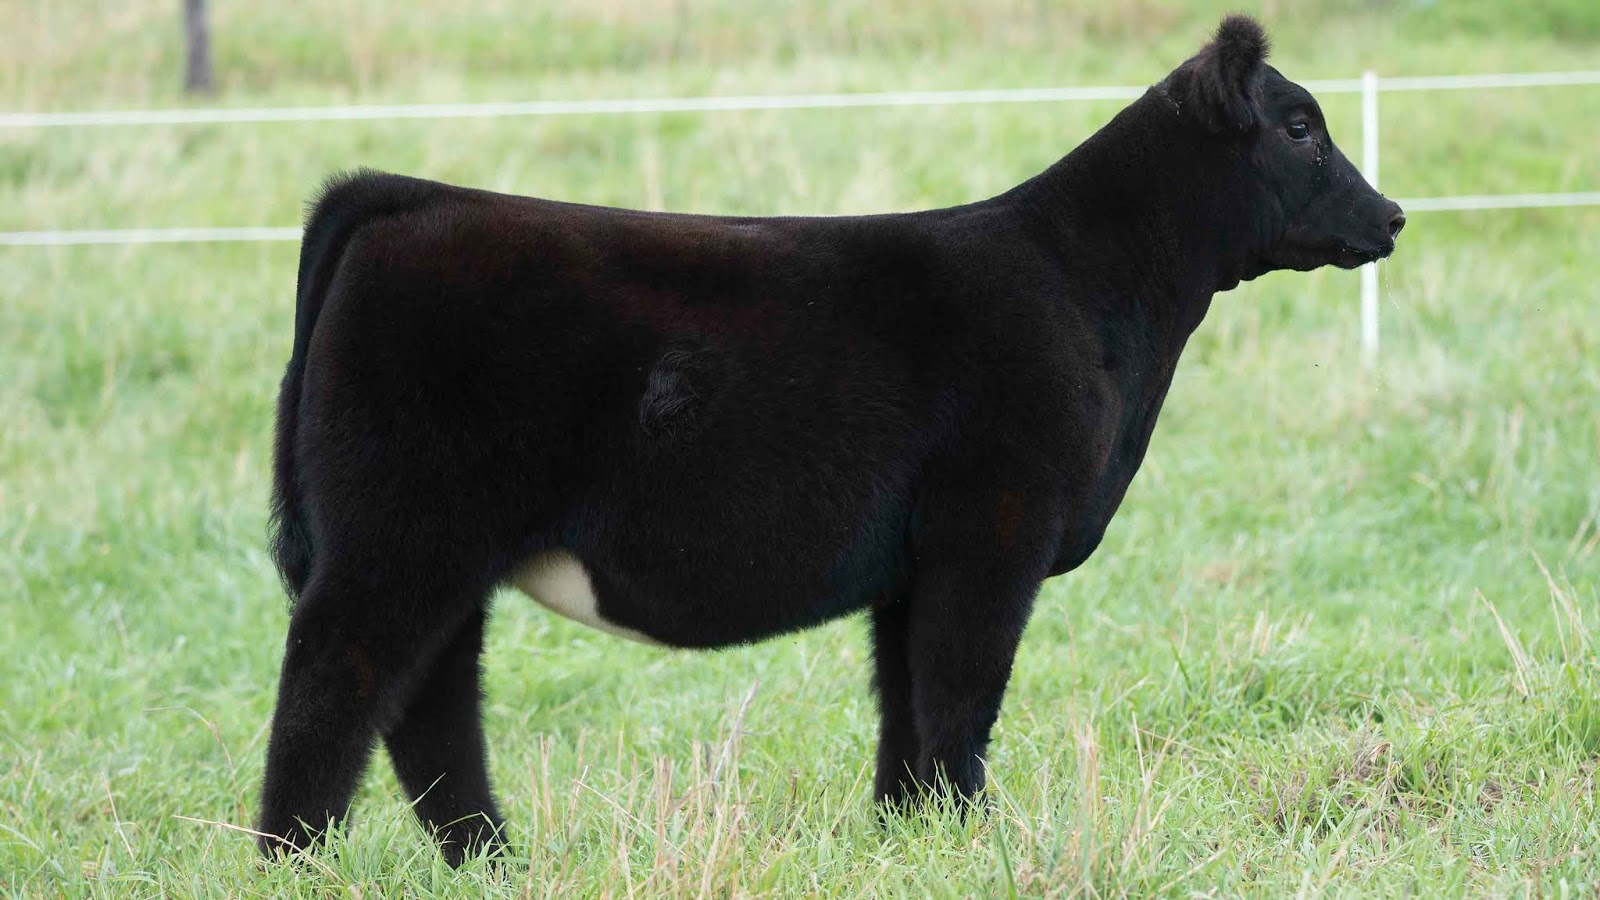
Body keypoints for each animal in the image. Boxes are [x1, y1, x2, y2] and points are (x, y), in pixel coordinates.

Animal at [256, 15, 1404, 865]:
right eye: (1299, 127)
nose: (1391, 215)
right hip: (397, 540)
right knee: (336, 683)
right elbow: (960, 691)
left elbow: (908, 706)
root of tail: (405, 198)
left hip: (444, 557)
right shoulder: (996, 528)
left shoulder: (915, 560)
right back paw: (295, 859)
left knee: (429, 707)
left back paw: (493, 860)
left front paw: (913, 838)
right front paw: (970, 843)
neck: (1089, 285)